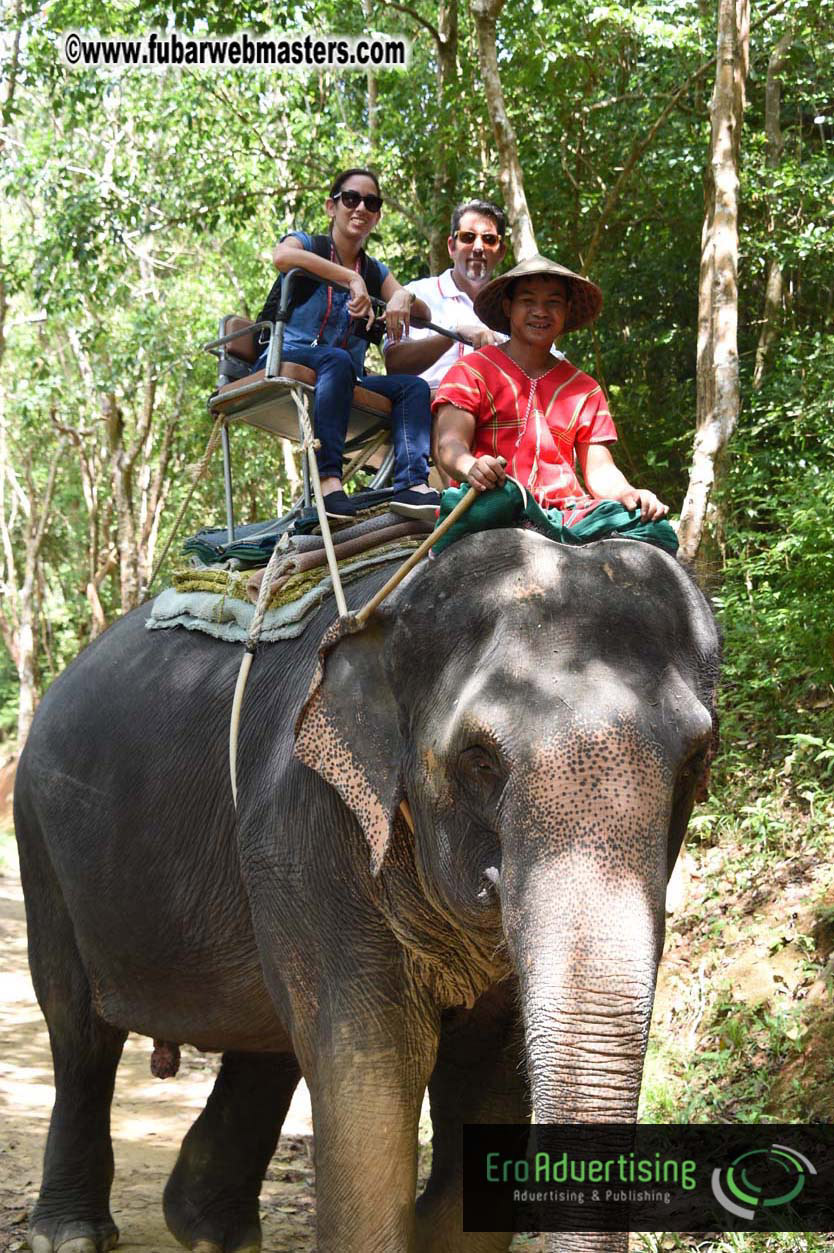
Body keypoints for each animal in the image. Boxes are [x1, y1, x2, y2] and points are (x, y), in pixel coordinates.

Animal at [13, 526, 720, 1253]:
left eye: (699, 759)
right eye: (480, 761)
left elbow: (488, 1072)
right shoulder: (304, 821)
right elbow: (376, 1060)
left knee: (267, 1039)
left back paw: (210, 1230)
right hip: (40, 836)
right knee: (78, 1029)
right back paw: (71, 1234)